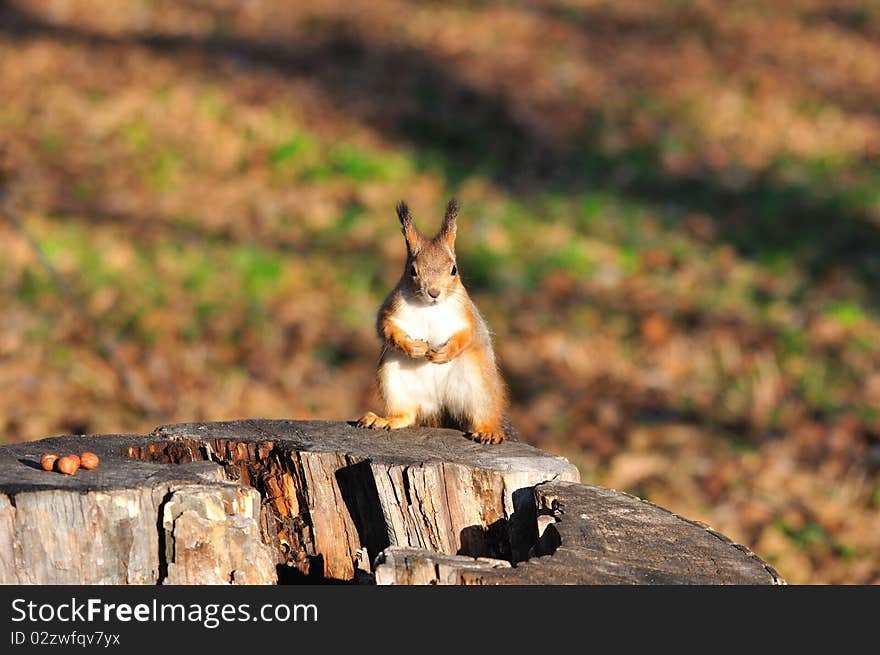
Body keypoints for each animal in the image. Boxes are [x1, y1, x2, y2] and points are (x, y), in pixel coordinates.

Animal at [358, 200, 508, 446]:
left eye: (454, 270)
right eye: (412, 270)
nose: (434, 292)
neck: (429, 307)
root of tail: (439, 404)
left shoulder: (468, 315)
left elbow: (469, 334)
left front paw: (444, 352)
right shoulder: (391, 309)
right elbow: (385, 328)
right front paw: (413, 347)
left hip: (480, 386)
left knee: (483, 414)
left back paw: (488, 431)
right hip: (394, 380)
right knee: (406, 413)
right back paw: (385, 419)